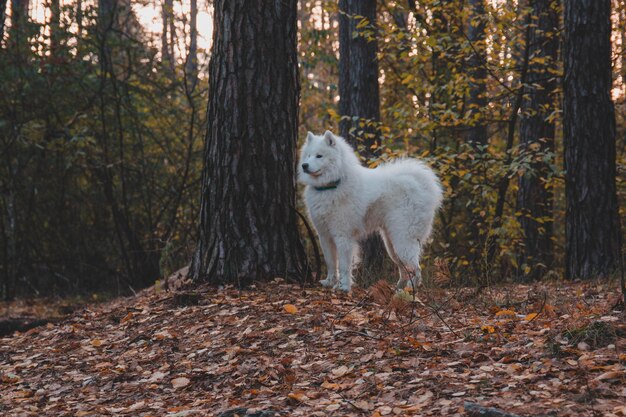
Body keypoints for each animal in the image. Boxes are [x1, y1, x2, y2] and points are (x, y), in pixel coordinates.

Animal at [296, 132, 438, 290]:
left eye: (319, 156)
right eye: (308, 155)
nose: (304, 165)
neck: (331, 186)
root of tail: (420, 184)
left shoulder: (343, 236)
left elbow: (344, 265)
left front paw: (343, 287)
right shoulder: (324, 235)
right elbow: (331, 263)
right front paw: (329, 282)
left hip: (403, 240)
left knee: (416, 268)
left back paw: (410, 288)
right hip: (391, 244)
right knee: (404, 268)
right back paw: (399, 287)